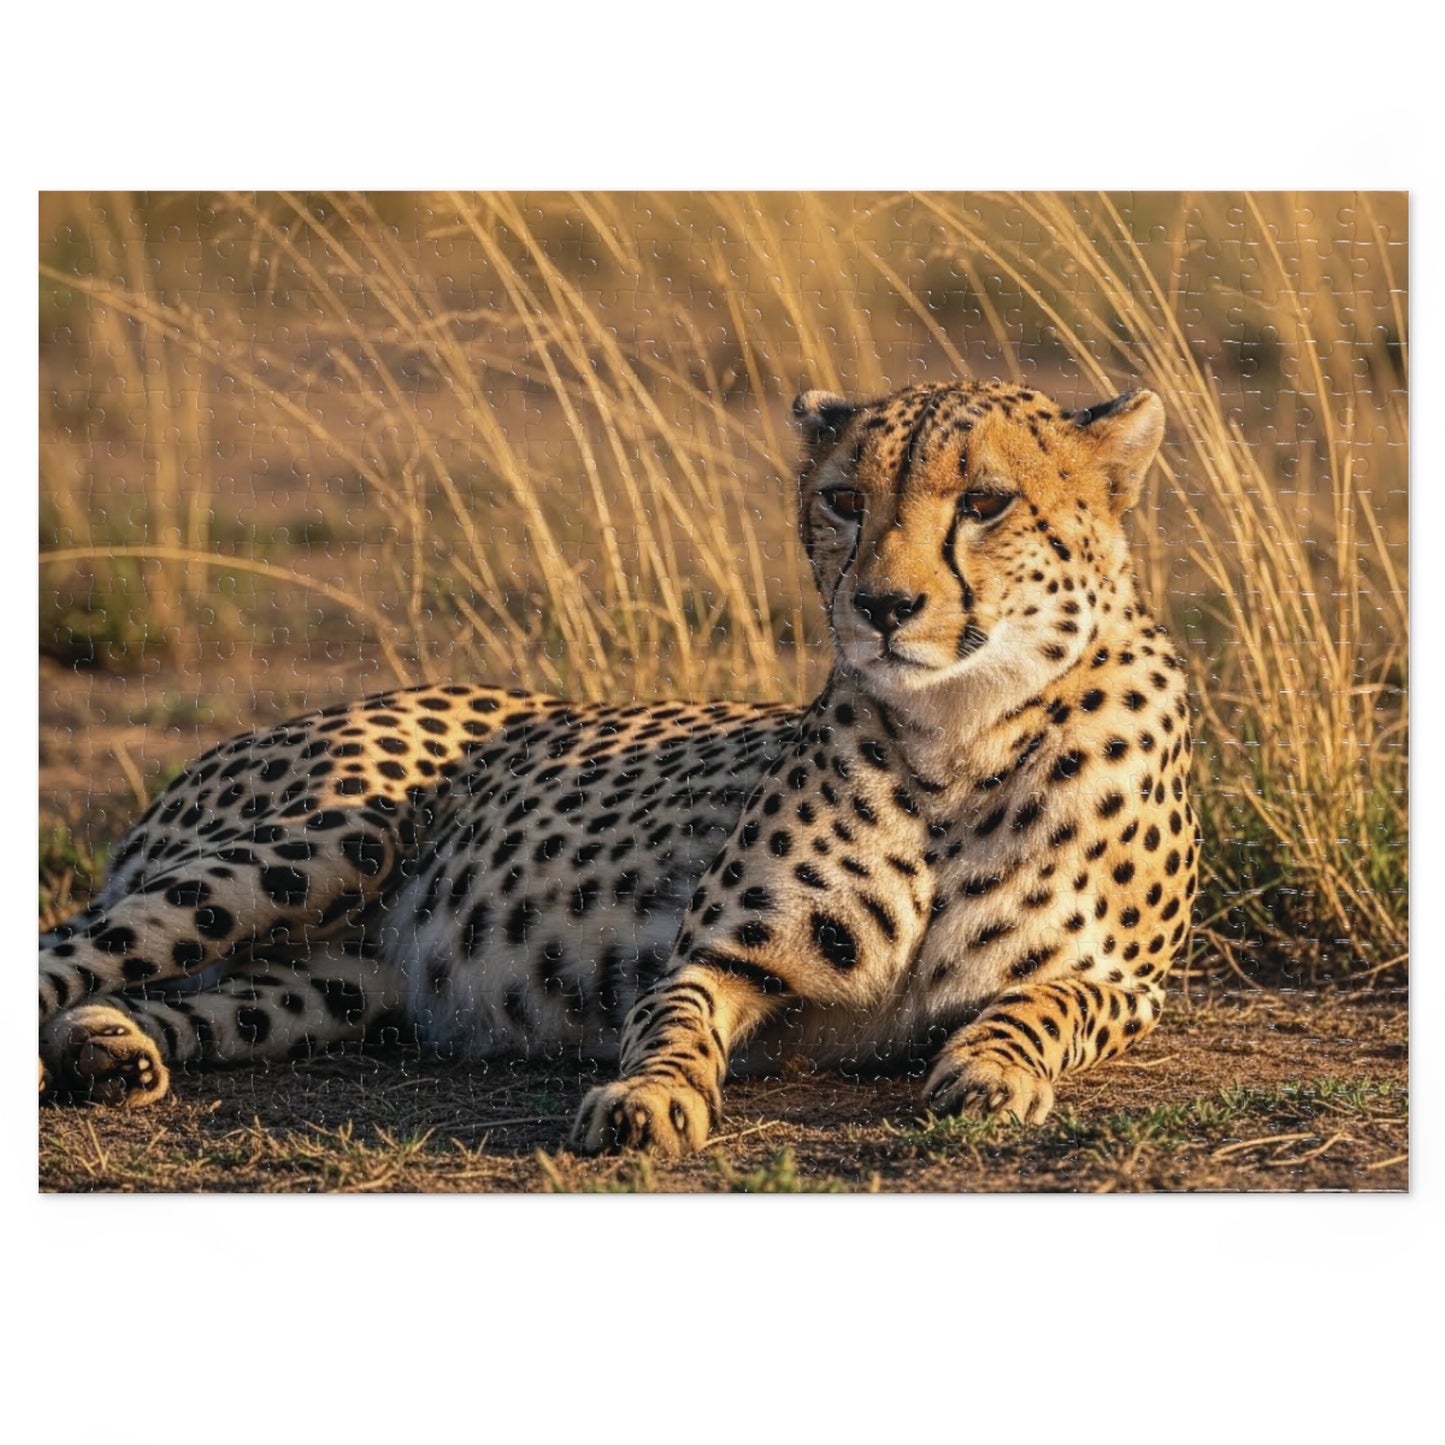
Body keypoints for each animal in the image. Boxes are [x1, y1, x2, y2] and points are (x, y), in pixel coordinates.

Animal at [39, 377, 1199, 1156]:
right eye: (842, 500)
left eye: (985, 502)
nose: (881, 605)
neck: (960, 734)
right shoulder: (718, 952)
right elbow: (671, 1021)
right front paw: (649, 1099)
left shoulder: (1129, 983)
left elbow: (1044, 1004)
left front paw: (991, 1068)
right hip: (325, 842)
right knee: (71, 949)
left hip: (335, 985)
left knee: (165, 997)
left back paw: (111, 1049)